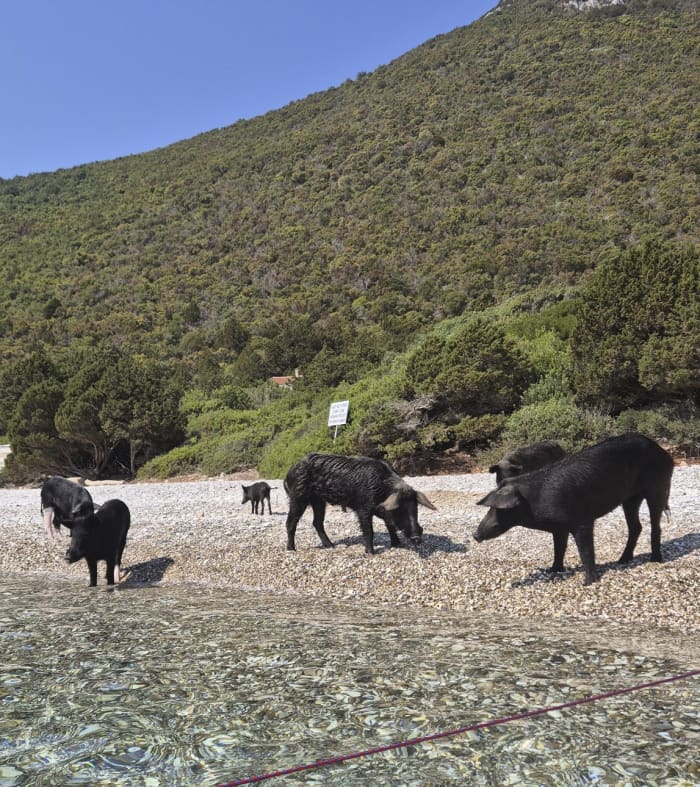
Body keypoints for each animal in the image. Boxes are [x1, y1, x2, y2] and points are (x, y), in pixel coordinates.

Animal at [284, 453, 436, 554]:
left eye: (415, 508)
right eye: (400, 509)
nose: (417, 538)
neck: (383, 489)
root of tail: (289, 472)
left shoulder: (382, 509)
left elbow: (390, 525)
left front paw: (397, 544)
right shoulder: (363, 507)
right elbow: (369, 530)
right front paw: (370, 553)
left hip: (319, 501)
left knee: (317, 522)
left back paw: (331, 546)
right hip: (298, 497)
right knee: (291, 522)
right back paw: (291, 549)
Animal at [473, 433, 674, 585]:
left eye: (498, 508)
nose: (475, 535)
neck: (535, 502)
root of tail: (665, 454)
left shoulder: (583, 521)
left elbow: (585, 550)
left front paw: (588, 582)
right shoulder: (558, 528)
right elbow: (559, 548)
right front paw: (553, 570)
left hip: (657, 486)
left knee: (655, 525)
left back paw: (655, 559)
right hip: (630, 499)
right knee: (636, 526)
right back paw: (622, 560)